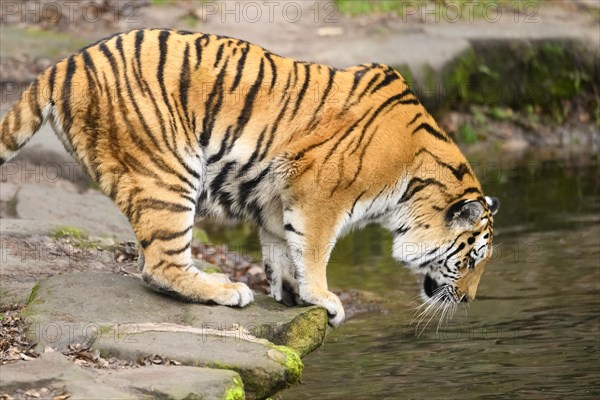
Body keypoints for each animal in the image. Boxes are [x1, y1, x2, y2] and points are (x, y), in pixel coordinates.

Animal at [0, 29, 496, 326]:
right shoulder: (320, 193)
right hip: (170, 171)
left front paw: (291, 292)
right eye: (470, 261)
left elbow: (282, 244)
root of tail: (64, 63)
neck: (411, 187)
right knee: (160, 265)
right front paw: (324, 298)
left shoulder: (280, 194)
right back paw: (226, 290)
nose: (469, 300)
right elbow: (314, 249)